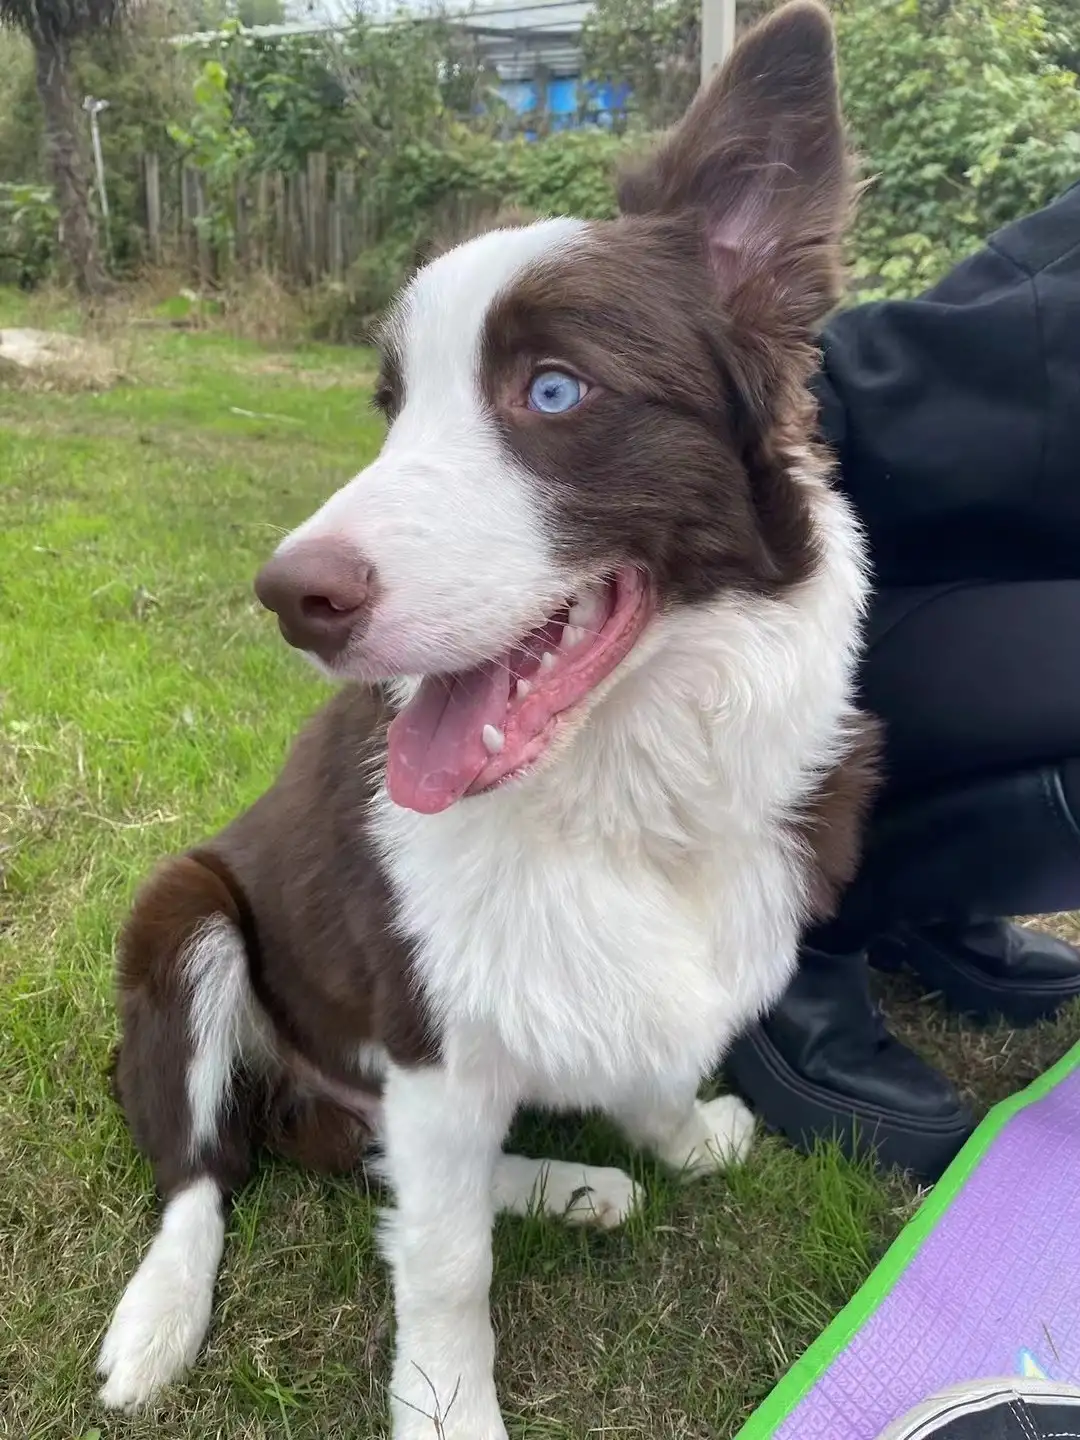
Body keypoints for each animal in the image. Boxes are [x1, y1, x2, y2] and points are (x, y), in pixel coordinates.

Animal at [99, 5, 881, 1434]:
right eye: (391, 409)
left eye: (554, 392)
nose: (289, 599)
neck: (628, 787)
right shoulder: (424, 1027)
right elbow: (448, 1265)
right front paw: (450, 1406)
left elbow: (641, 1076)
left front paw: (682, 1137)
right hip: (180, 918)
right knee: (207, 1173)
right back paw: (159, 1319)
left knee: (370, 1156)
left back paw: (564, 1185)